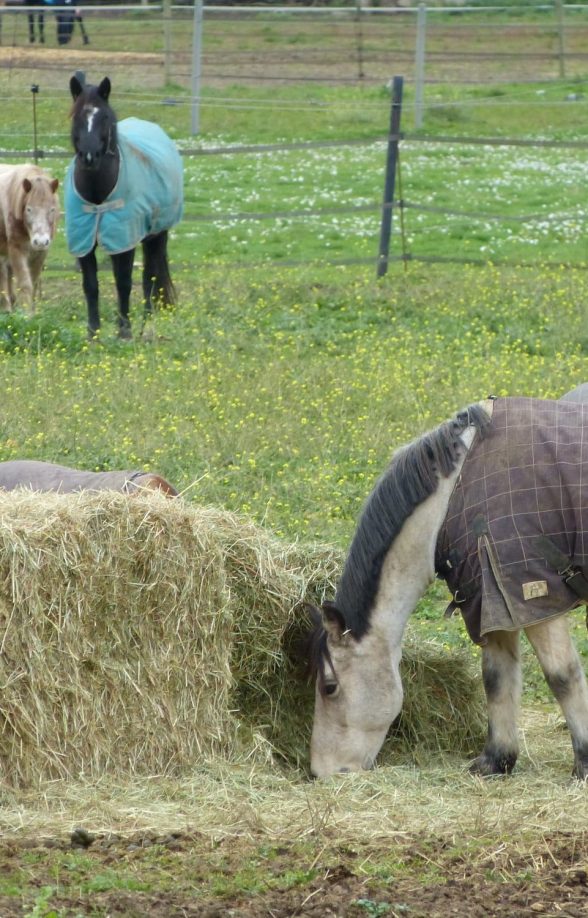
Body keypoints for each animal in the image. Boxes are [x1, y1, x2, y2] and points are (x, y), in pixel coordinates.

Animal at [0, 169, 58, 316]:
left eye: (52, 209)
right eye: (29, 209)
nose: (40, 241)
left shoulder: (41, 253)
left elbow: (34, 281)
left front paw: (31, 311)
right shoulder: (16, 250)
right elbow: (25, 283)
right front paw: (25, 314)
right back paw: (6, 307)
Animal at [65, 72, 183, 338]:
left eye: (104, 117)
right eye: (76, 116)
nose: (89, 157)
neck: (97, 195)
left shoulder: (124, 241)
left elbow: (124, 283)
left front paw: (124, 332)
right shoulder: (85, 241)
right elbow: (90, 286)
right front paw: (93, 333)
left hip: (156, 235)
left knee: (149, 278)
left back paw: (146, 325)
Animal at [306, 396, 588, 784]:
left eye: (329, 687)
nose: (319, 772)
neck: (455, 496)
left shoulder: (534, 599)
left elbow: (562, 676)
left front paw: (584, 764)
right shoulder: (492, 602)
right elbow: (496, 678)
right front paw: (496, 761)